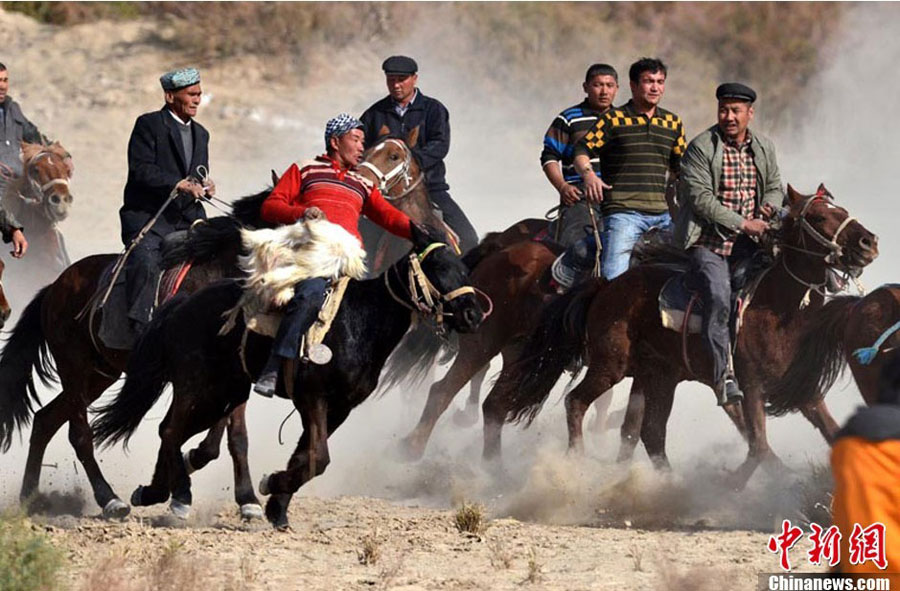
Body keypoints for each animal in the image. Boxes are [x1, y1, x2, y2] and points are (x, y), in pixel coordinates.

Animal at [92, 223, 486, 528]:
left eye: (463, 267)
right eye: (437, 266)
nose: (473, 314)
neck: (362, 320)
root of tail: (182, 305)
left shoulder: (340, 408)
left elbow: (306, 457)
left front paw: (276, 505)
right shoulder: (313, 398)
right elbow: (319, 457)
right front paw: (270, 486)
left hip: (224, 394)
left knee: (173, 432)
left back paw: (153, 491)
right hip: (199, 389)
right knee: (171, 431)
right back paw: (179, 495)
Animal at [486, 185, 880, 486]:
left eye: (842, 210)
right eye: (818, 217)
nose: (868, 242)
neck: (775, 309)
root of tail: (607, 286)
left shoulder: (805, 393)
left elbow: (823, 434)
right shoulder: (748, 386)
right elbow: (759, 446)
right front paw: (736, 486)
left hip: (658, 375)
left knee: (650, 433)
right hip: (609, 366)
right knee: (575, 402)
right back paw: (575, 464)